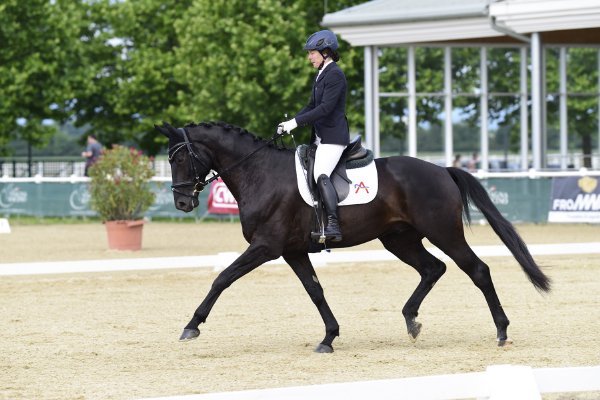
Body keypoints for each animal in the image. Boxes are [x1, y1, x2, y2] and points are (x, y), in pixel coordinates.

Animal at [155, 122, 548, 354]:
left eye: (180, 158)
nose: (182, 202)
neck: (258, 173)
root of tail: (442, 170)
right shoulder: (293, 251)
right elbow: (315, 291)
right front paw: (329, 337)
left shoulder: (266, 247)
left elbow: (222, 278)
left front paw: (191, 326)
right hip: (399, 239)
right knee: (432, 269)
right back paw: (411, 320)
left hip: (443, 233)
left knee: (477, 270)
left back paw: (501, 331)